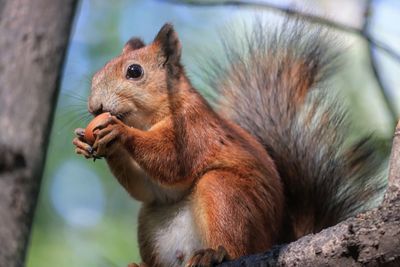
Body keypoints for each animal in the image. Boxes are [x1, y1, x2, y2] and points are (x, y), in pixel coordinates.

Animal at [72, 19, 384, 267]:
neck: (149, 120)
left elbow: (172, 161)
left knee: (235, 244)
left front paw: (118, 131)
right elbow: (149, 188)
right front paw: (88, 142)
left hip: (225, 194)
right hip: (151, 219)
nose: (94, 107)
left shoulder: (195, 129)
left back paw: (214, 254)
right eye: (98, 73)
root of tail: (274, 240)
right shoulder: (157, 187)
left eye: (135, 72)